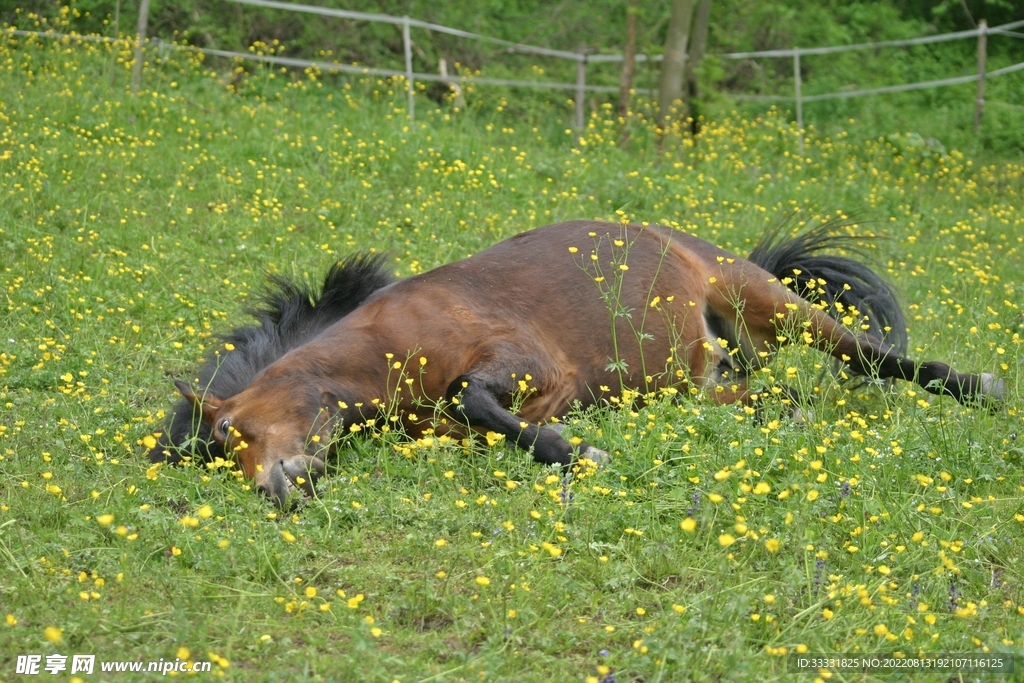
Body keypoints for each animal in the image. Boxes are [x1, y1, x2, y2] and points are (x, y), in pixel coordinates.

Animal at [149, 219, 1003, 506]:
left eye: (227, 433)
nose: (279, 490)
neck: (386, 336)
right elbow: (481, 421)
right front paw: (569, 447)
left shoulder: (525, 363)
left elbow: (474, 397)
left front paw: (577, 452)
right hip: (693, 383)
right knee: (759, 393)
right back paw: (784, 413)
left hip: (769, 300)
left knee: (875, 356)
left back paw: (980, 388)